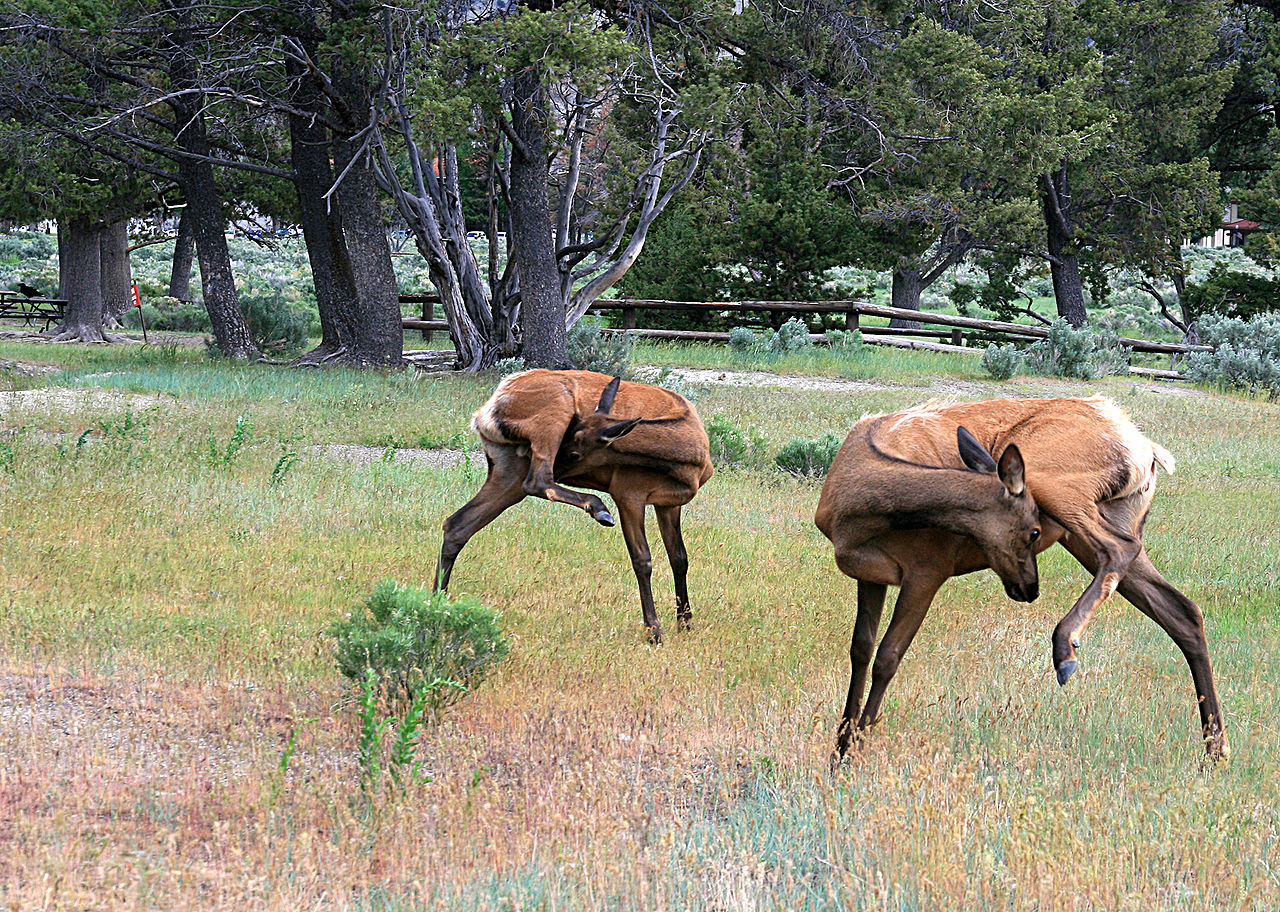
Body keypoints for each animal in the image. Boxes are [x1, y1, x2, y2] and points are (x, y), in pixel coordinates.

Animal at [437, 368, 716, 640]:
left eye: (574, 453)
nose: (559, 468)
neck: (689, 461)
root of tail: (484, 413)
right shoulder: (628, 492)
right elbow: (642, 560)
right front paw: (654, 631)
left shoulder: (669, 503)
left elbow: (679, 557)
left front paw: (685, 623)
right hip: (554, 411)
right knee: (537, 480)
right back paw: (598, 508)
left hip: (507, 470)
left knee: (457, 524)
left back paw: (438, 601)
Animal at [819, 399, 1228, 763]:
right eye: (1033, 531)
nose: (1030, 589)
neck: (855, 511)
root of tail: (1147, 449)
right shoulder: (870, 574)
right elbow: (861, 650)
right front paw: (838, 753)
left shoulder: (928, 568)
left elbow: (888, 656)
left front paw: (852, 754)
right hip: (1100, 521)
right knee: (1182, 610)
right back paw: (1216, 751)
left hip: (1053, 479)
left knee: (1120, 548)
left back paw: (1065, 648)